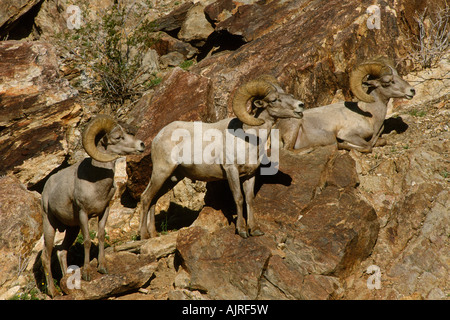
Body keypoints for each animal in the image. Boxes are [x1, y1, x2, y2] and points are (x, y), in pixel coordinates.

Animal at [41, 115, 144, 298]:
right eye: (118, 137)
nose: (141, 145)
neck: (96, 182)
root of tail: (47, 186)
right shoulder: (84, 213)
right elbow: (88, 241)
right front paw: (87, 274)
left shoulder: (104, 211)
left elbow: (101, 235)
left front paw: (102, 267)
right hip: (50, 224)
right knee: (46, 255)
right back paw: (53, 292)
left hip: (72, 229)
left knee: (62, 251)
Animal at [139, 76, 304, 239]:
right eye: (274, 100)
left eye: (290, 95)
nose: (301, 106)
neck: (249, 139)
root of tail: (158, 137)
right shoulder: (232, 171)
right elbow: (238, 198)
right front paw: (242, 231)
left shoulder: (249, 175)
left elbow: (249, 199)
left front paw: (255, 230)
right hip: (162, 172)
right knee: (146, 198)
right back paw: (144, 235)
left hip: (172, 178)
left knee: (154, 199)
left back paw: (153, 234)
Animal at [276, 58, 416, 153]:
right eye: (387, 82)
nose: (412, 91)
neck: (369, 116)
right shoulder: (348, 135)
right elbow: (367, 146)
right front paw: (342, 144)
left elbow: (381, 141)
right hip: (294, 126)